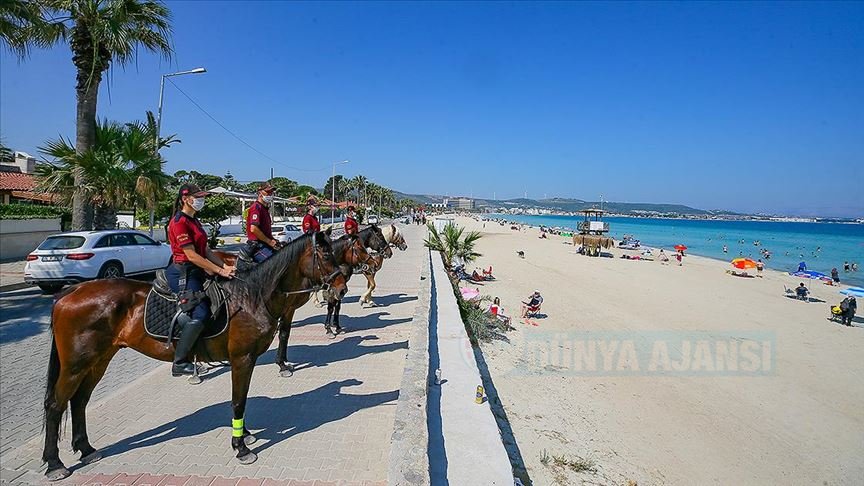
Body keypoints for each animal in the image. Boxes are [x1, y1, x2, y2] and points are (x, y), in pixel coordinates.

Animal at [40, 234, 362, 480]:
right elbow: (238, 400)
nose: (342, 287)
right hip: (76, 364)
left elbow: (242, 398)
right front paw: (240, 447)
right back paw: (55, 463)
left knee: (79, 401)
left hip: (99, 360)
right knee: (56, 404)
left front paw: (245, 434)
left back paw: (86, 449)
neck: (252, 297)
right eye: (325, 255)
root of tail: (69, 293)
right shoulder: (242, 358)